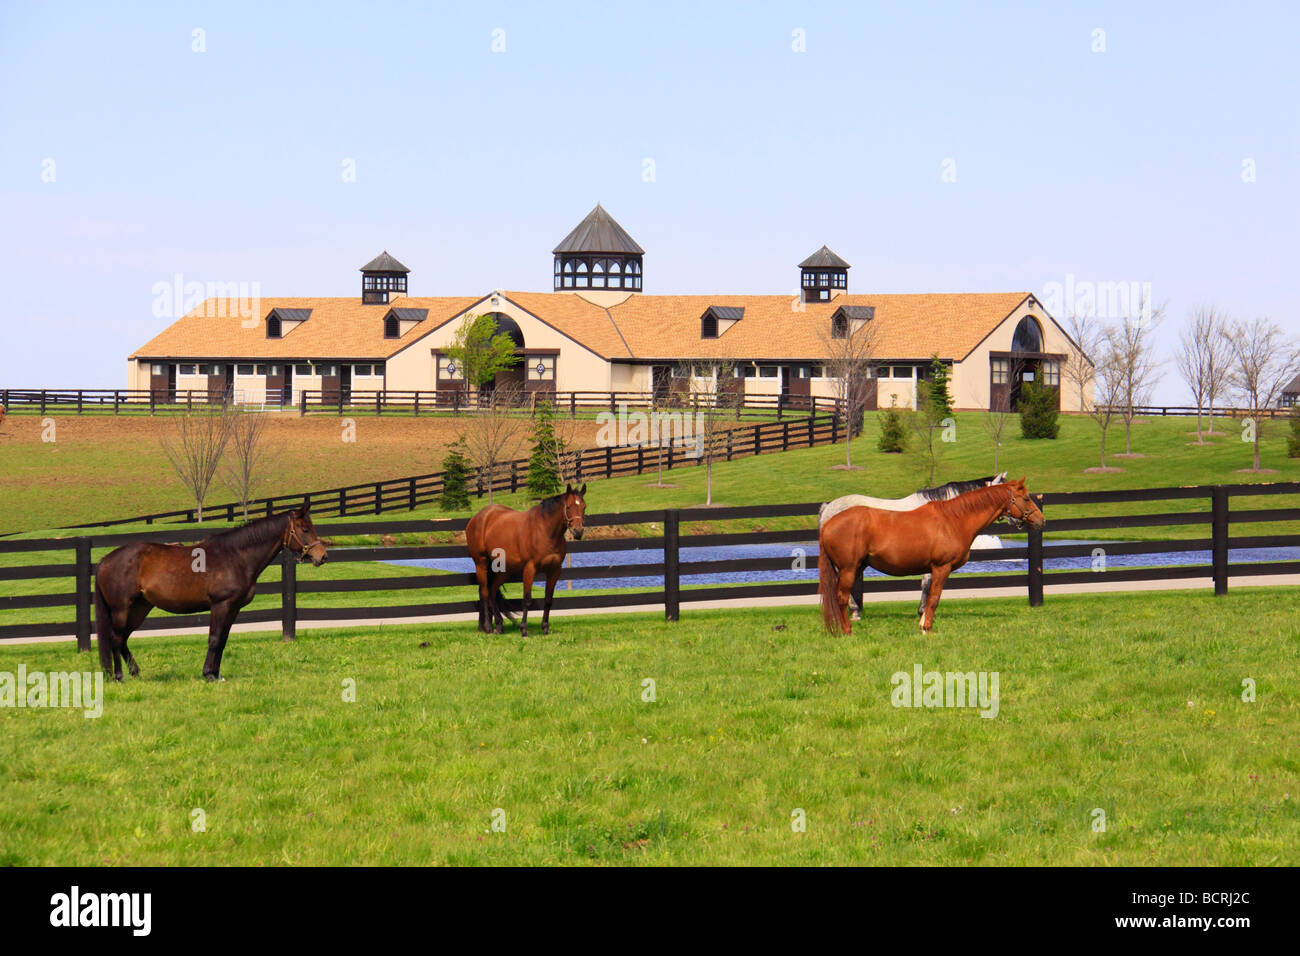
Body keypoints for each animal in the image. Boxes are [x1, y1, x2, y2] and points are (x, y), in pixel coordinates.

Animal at [94, 509, 327, 681]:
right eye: (305, 528)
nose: (322, 556)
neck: (235, 556)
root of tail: (106, 560)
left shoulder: (233, 608)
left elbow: (222, 640)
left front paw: (216, 674)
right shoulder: (220, 605)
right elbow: (214, 639)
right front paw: (208, 675)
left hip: (140, 608)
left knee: (123, 638)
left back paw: (134, 672)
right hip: (122, 609)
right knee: (116, 638)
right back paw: (119, 676)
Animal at [467, 486, 590, 634]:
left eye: (584, 506)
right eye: (568, 507)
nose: (578, 532)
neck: (545, 531)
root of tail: (478, 517)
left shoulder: (554, 570)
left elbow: (548, 599)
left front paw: (545, 628)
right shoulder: (529, 569)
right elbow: (526, 599)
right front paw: (524, 629)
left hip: (503, 570)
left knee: (492, 591)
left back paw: (498, 625)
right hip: (481, 563)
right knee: (484, 592)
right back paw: (487, 627)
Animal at [821, 478, 1045, 634]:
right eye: (1026, 498)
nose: (1041, 521)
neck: (953, 518)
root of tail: (829, 521)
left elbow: (928, 593)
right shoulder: (941, 567)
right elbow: (934, 597)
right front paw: (925, 627)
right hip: (849, 568)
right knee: (841, 597)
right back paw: (848, 628)